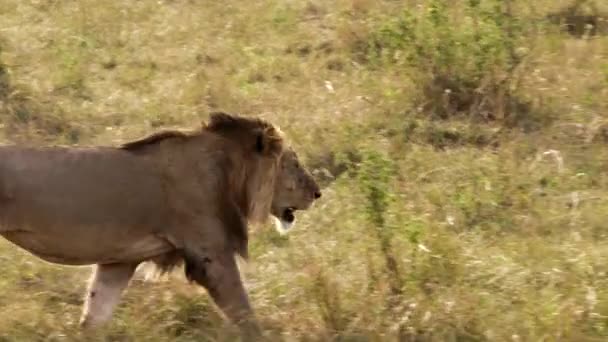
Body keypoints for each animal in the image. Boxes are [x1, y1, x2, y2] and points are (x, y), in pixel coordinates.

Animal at [0, 112, 324, 336]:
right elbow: (244, 313)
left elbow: (96, 313)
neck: (231, 174)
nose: (318, 193)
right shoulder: (211, 254)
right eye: (294, 164)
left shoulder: (119, 261)